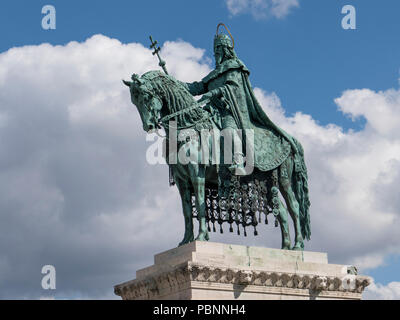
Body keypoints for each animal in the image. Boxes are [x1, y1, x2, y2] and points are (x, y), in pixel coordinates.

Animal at [123, 70, 310, 250]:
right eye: (134, 101)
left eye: (146, 96)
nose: (149, 126)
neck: (187, 127)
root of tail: (290, 138)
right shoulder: (181, 179)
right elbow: (187, 211)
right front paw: (186, 240)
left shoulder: (196, 171)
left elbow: (200, 204)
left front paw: (201, 236)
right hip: (268, 181)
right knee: (282, 211)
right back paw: (285, 247)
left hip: (283, 178)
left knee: (294, 207)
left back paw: (297, 245)